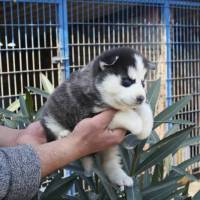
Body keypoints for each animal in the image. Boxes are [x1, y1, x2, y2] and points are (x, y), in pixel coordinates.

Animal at [41, 47, 155, 188]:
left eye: (143, 83)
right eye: (127, 81)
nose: (141, 98)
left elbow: (144, 109)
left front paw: (146, 126)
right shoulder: (87, 115)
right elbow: (121, 114)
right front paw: (137, 123)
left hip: (108, 147)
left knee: (109, 162)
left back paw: (120, 177)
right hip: (51, 117)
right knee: (53, 130)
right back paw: (63, 135)